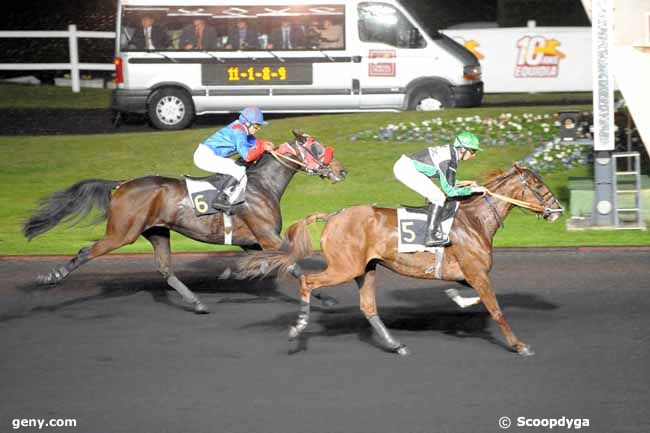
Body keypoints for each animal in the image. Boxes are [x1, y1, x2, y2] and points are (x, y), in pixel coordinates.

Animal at [22, 130, 346, 312]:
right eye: (317, 147)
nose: (341, 171)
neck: (261, 185)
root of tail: (122, 184)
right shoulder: (266, 236)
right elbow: (293, 263)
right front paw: (326, 299)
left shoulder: (253, 241)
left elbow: (271, 263)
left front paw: (235, 273)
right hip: (121, 233)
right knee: (85, 252)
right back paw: (51, 277)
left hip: (156, 232)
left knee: (165, 270)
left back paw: (197, 302)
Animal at [237, 164, 560, 356]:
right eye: (538, 186)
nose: (557, 210)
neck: (475, 220)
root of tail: (332, 216)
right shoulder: (477, 273)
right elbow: (496, 309)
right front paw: (518, 345)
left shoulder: (468, 274)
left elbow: (471, 295)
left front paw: (457, 299)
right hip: (345, 267)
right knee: (307, 280)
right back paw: (298, 329)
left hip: (365, 269)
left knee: (368, 307)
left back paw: (395, 344)